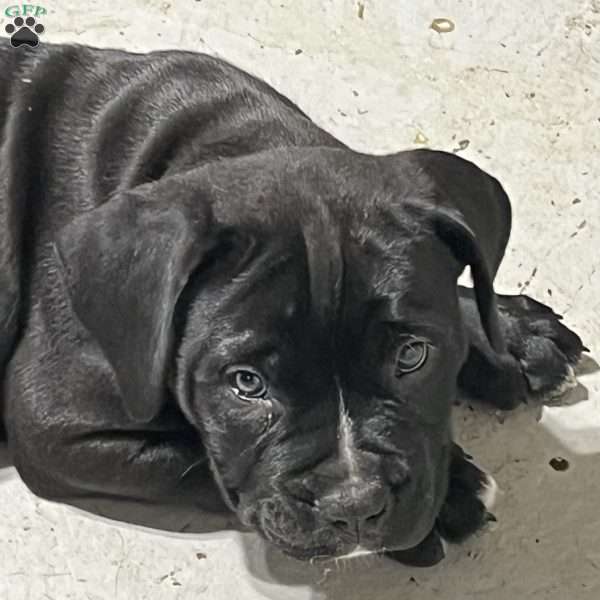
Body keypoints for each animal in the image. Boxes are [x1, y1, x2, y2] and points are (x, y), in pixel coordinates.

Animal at [0, 39, 584, 564]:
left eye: (413, 356)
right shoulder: (50, 420)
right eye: (246, 383)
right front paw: (455, 494)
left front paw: (508, 332)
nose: (355, 503)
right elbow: (198, 461)